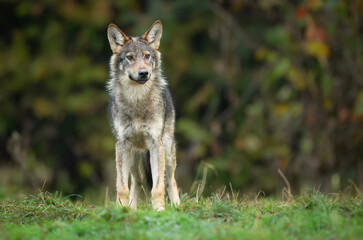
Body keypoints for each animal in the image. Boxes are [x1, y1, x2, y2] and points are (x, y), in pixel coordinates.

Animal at [106, 21, 181, 211]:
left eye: (147, 56)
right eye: (130, 57)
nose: (143, 73)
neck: (137, 99)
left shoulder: (156, 144)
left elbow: (157, 188)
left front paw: (159, 211)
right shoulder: (122, 146)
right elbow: (122, 187)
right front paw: (122, 210)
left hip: (167, 152)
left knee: (170, 181)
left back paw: (177, 208)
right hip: (133, 156)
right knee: (137, 181)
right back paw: (132, 209)